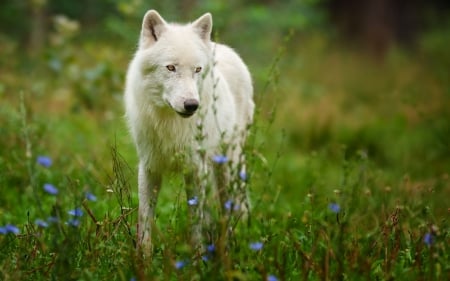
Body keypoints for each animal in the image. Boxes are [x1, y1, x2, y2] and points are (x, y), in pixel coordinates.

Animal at [125, 9, 255, 254]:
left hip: (229, 165)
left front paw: (198, 258)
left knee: (233, 206)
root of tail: (221, 47)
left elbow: (196, 222)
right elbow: (144, 219)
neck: (170, 124)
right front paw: (143, 258)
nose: (192, 105)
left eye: (197, 70)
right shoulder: (149, 167)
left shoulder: (195, 169)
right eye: (171, 68)